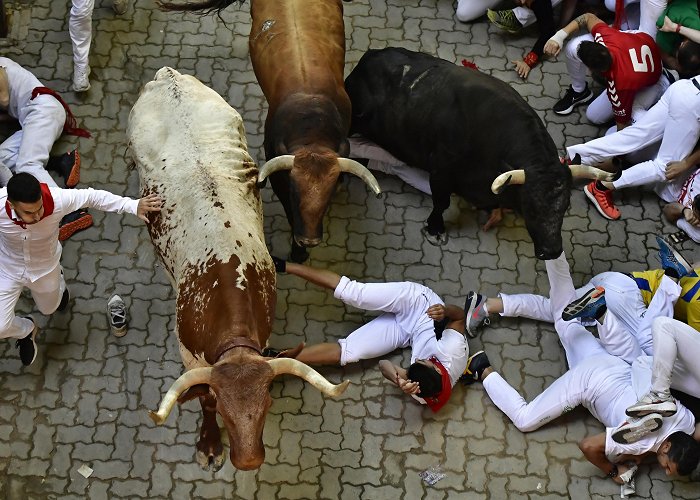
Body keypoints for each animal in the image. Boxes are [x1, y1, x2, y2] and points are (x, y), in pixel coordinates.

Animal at [126, 68, 350, 470]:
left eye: (268, 402)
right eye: (225, 410)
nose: (248, 461)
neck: (225, 278)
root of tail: (169, 76)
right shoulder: (189, 355)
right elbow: (202, 396)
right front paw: (209, 443)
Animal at [158, 0, 380, 264]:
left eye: (328, 193)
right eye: (294, 192)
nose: (309, 240)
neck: (312, 121)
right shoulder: (279, 182)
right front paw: (298, 252)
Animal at [346, 46, 576, 262]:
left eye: (565, 206)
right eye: (530, 207)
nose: (552, 251)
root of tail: (370, 56)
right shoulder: (441, 170)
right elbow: (441, 203)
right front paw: (435, 228)